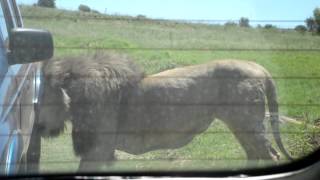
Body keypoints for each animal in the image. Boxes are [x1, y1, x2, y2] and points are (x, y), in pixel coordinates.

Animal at [36, 52, 292, 171]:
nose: (36, 127)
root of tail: (260, 68)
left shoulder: (97, 149)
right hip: (240, 125)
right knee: (254, 154)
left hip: (247, 123)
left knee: (270, 155)